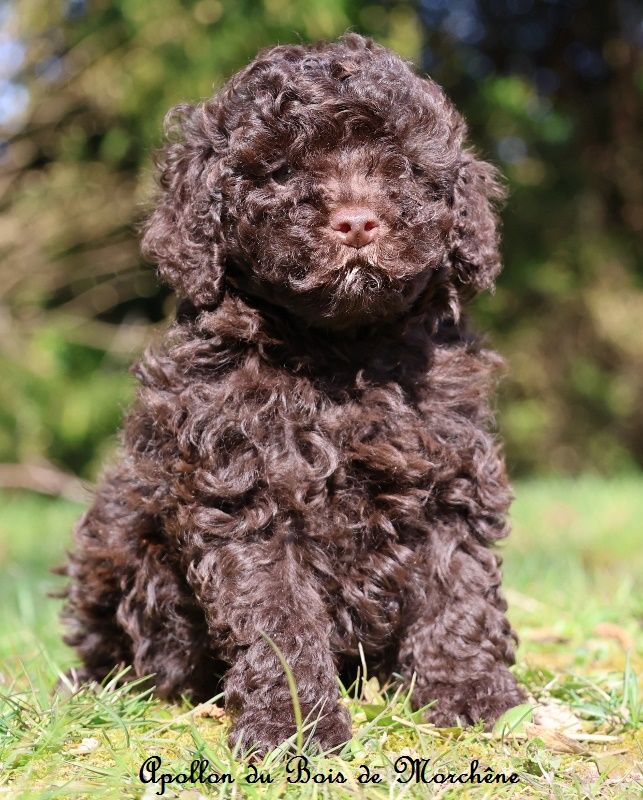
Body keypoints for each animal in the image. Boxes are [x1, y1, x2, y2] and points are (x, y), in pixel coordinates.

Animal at [61, 33, 525, 754]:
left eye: (402, 168)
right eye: (281, 172)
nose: (357, 222)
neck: (340, 357)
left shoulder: (449, 476)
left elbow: (460, 588)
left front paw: (473, 695)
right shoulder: (246, 495)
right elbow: (278, 619)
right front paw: (294, 728)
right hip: (115, 537)